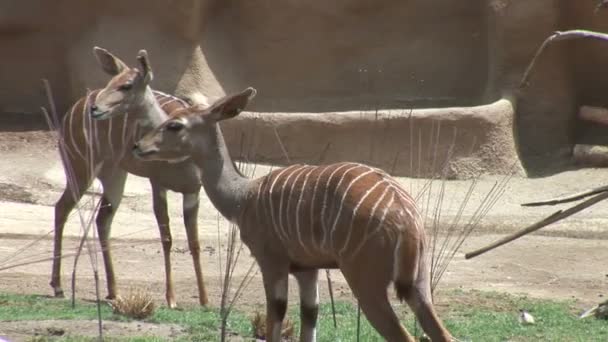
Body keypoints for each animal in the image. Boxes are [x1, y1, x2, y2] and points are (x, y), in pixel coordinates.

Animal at [50, 47, 211, 308]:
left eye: (126, 85)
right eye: (111, 81)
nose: (95, 109)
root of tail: (75, 107)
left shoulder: (193, 190)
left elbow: (194, 242)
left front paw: (205, 300)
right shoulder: (158, 184)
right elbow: (166, 238)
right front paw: (171, 299)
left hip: (115, 175)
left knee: (102, 219)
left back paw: (113, 292)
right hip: (80, 168)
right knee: (61, 208)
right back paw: (58, 286)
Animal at [134, 87, 456, 340]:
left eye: (175, 125)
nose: (138, 146)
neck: (244, 196)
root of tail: (406, 214)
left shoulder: (272, 261)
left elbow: (276, 317)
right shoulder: (307, 269)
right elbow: (309, 318)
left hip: (366, 281)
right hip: (419, 284)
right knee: (443, 334)